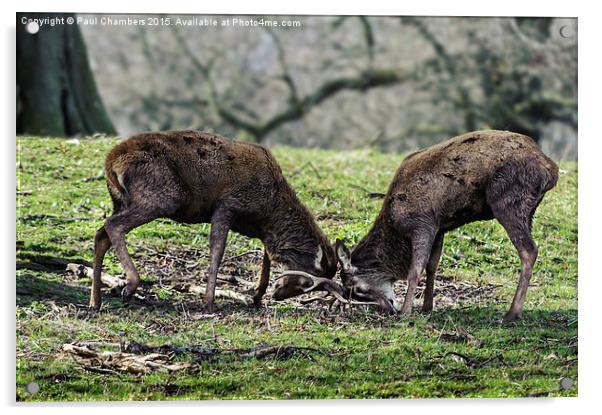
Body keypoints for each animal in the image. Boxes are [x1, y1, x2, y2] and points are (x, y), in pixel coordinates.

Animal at [88, 130, 338, 312]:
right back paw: (130, 286)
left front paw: (257, 296)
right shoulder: (227, 205)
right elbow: (217, 251)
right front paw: (209, 302)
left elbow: (266, 254)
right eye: (307, 283)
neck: (267, 210)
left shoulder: (255, 229)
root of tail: (111, 163)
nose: (278, 294)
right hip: (162, 197)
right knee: (113, 226)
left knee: (101, 234)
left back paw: (95, 301)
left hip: (119, 200)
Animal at [274, 131, 560, 322]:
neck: (395, 225)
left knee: (529, 250)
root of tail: (551, 170)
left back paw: (512, 313)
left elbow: (415, 268)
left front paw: (407, 311)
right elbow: (433, 265)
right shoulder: (441, 226)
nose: (388, 309)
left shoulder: (422, 222)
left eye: (358, 290)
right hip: (527, 207)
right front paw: (427, 307)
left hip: (508, 200)